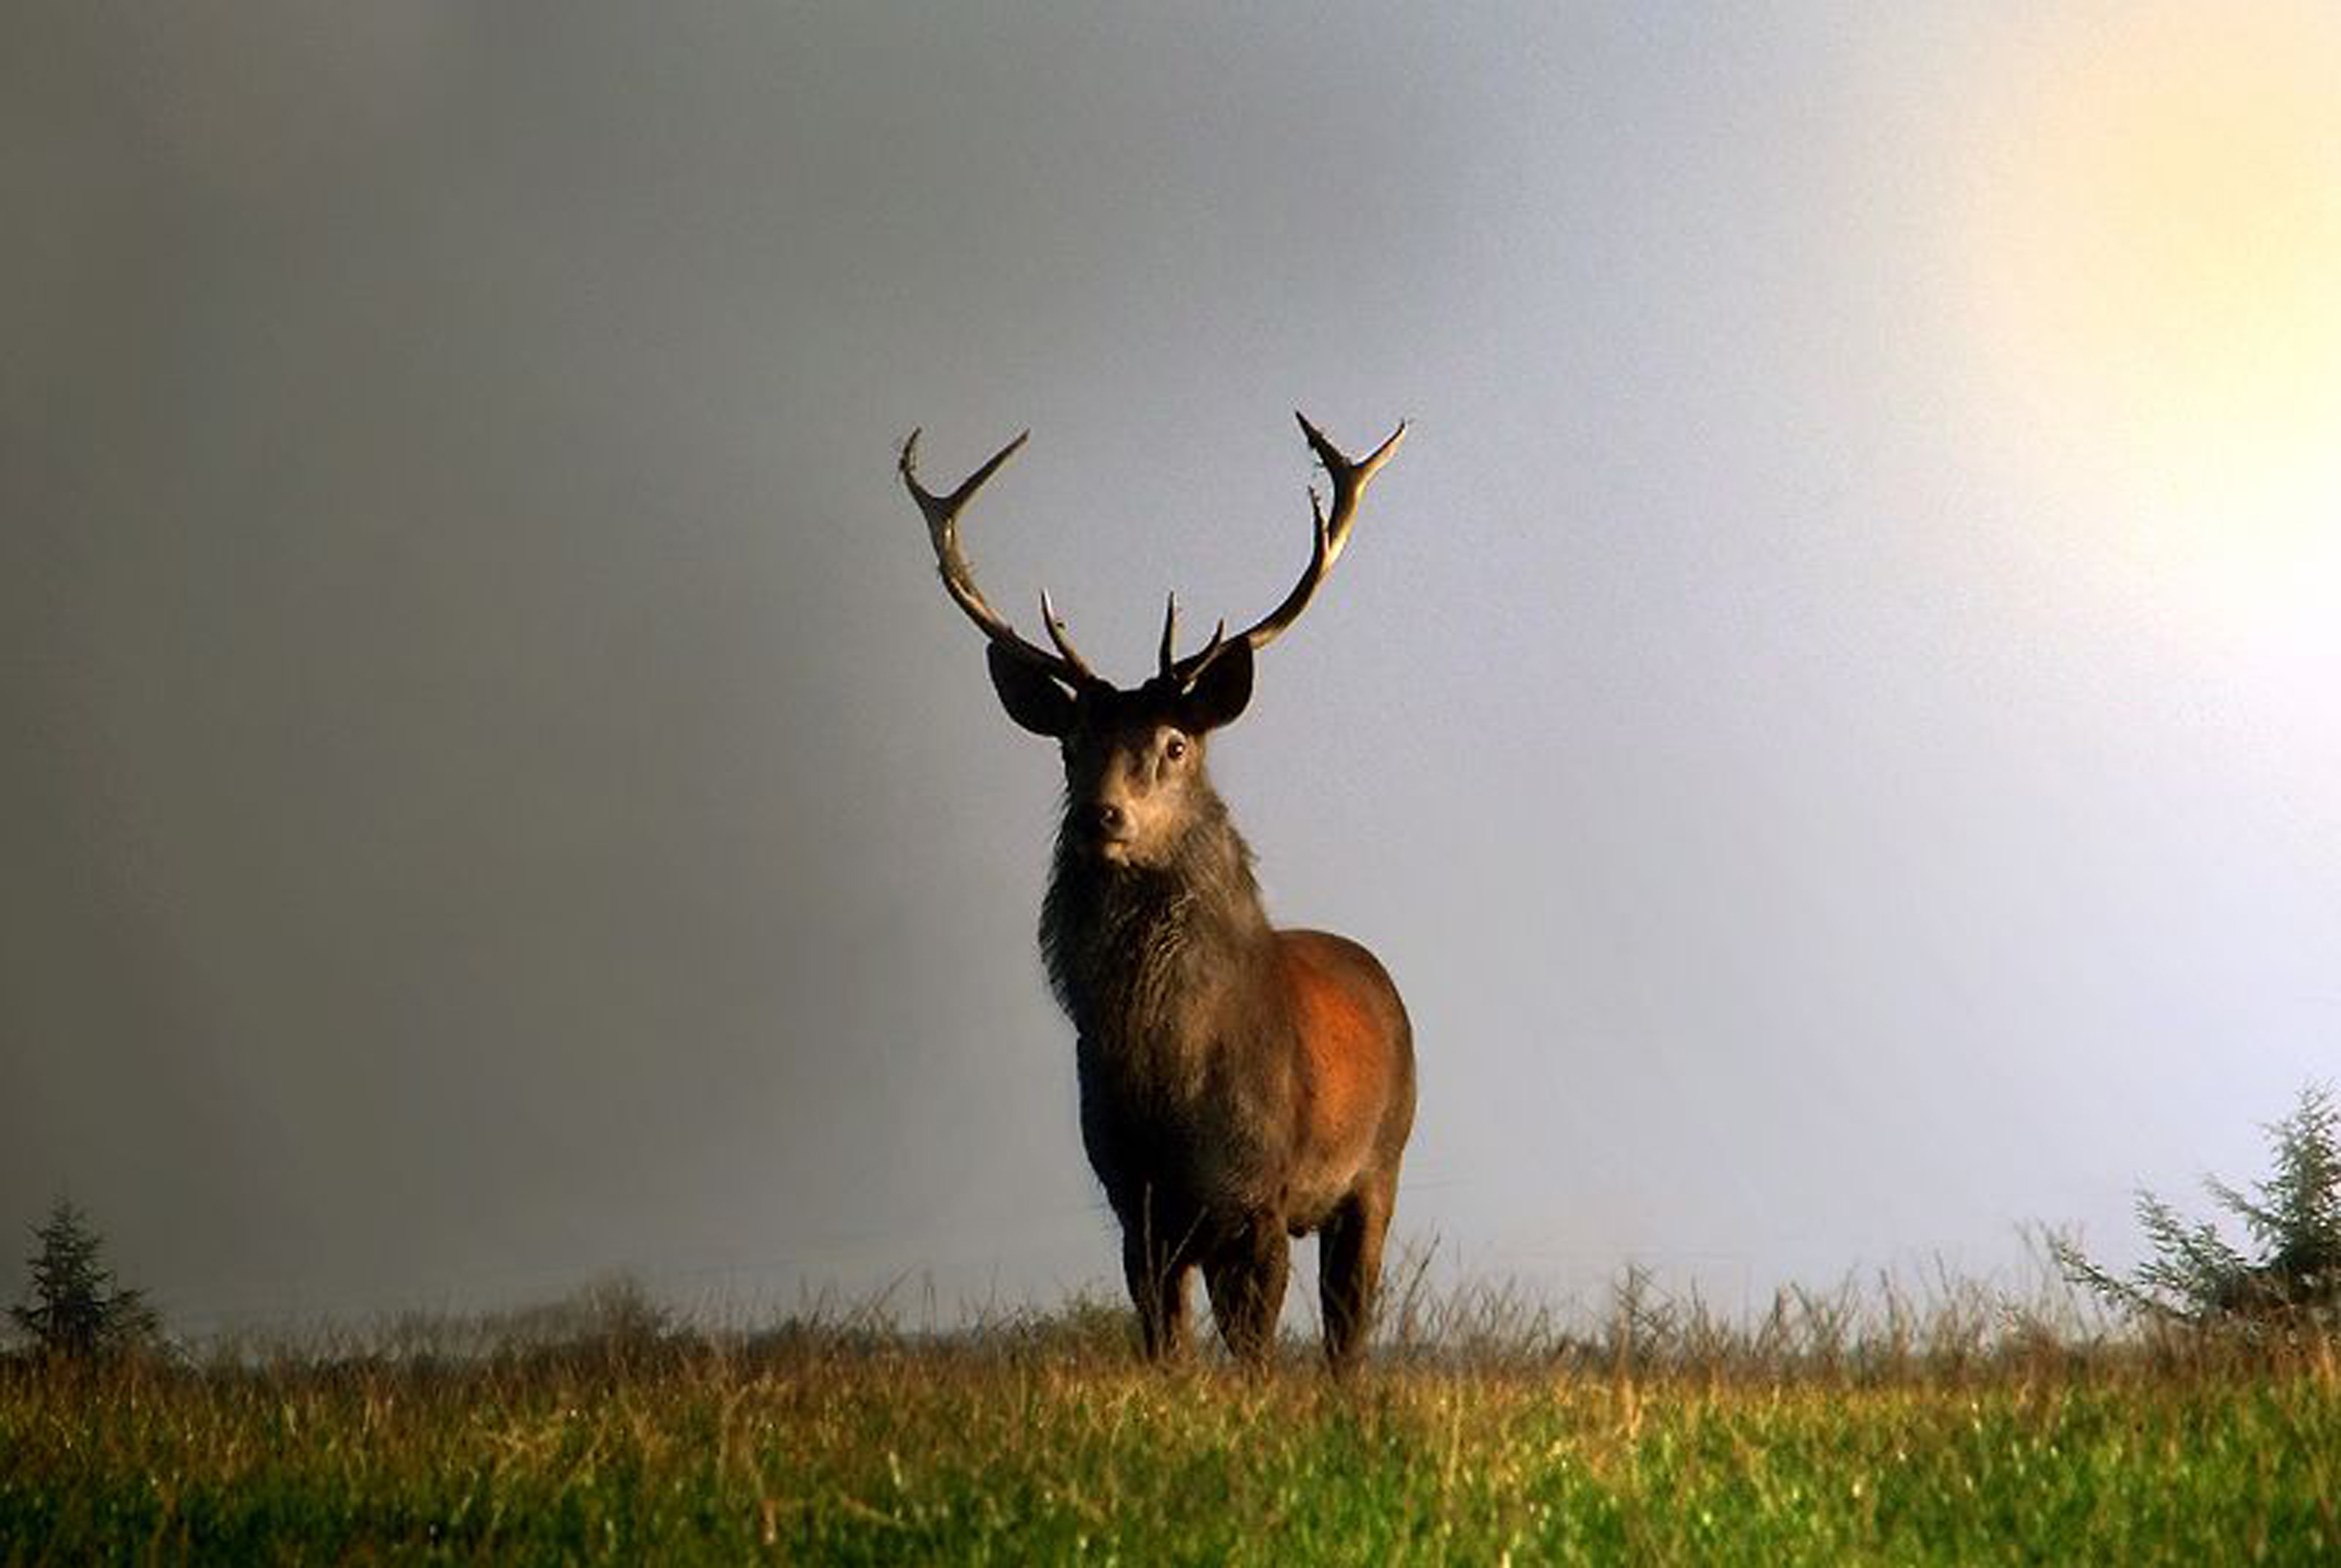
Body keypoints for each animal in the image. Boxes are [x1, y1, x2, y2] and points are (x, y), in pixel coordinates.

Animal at [889, 411, 1404, 1366]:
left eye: (1174, 743)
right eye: (1070, 744)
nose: (1104, 816)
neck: (1174, 1095)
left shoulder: (1263, 1199)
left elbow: (1256, 1356)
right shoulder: (1138, 1207)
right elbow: (1164, 1347)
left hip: (1381, 1164)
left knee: (1349, 1330)